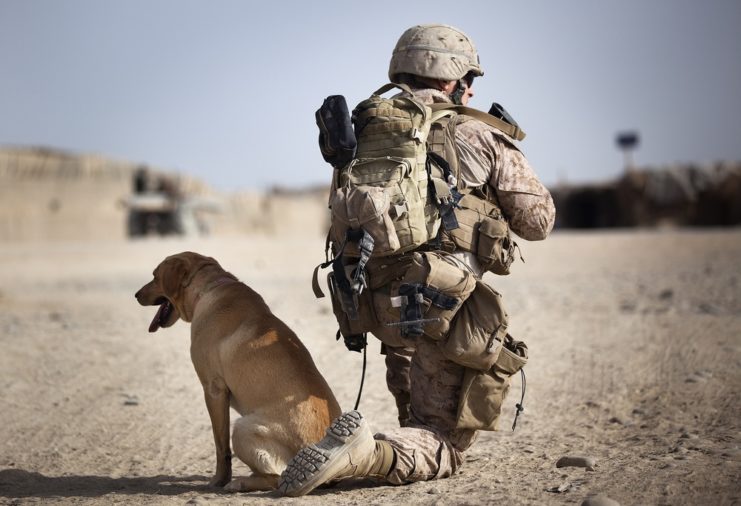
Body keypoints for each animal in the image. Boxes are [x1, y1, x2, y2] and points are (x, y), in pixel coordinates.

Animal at [134, 251, 340, 492]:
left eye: (155, 276)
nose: (136, 295)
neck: (208, 287)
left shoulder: (213, 390)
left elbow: (220, 447)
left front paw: (218, 480)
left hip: (241, 428)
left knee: (276, 478)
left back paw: (240, 482)